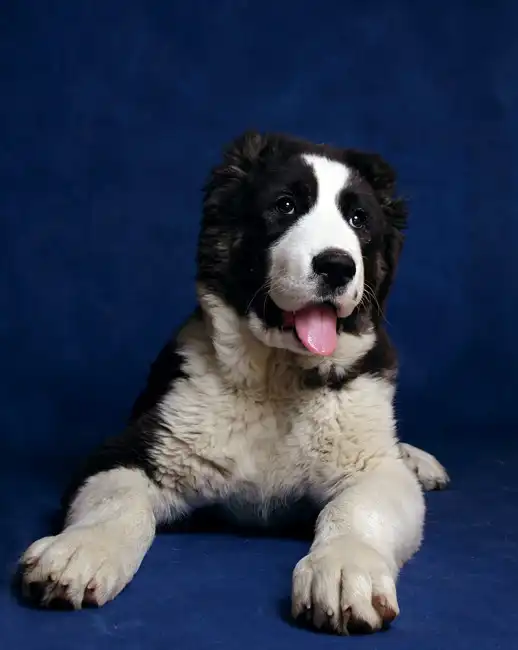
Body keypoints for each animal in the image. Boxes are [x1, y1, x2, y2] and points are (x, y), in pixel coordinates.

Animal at [19, 131, 449, 634]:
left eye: (359, 218)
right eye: (285, 205)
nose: (337, 266)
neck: (277, 382)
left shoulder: (373, 466)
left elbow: (360, 507)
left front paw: (344, 568)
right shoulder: (131, 451)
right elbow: (118, 500)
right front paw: (81, 549)